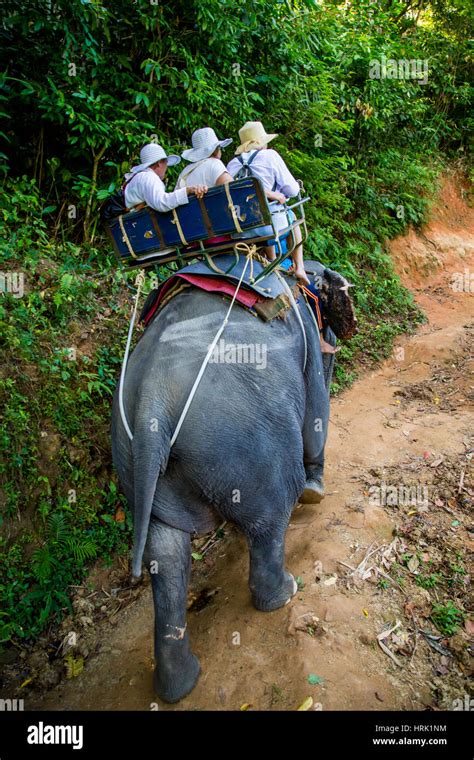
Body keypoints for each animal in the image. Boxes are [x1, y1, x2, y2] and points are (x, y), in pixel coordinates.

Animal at [111, 258, 336, 704]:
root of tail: (152, 401)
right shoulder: (307, 338)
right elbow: (317, 413)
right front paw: (315, 493)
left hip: (137, 462)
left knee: (166, 553)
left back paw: (178, 684)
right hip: (245, 436)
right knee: (269, 516)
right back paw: (284, 592)